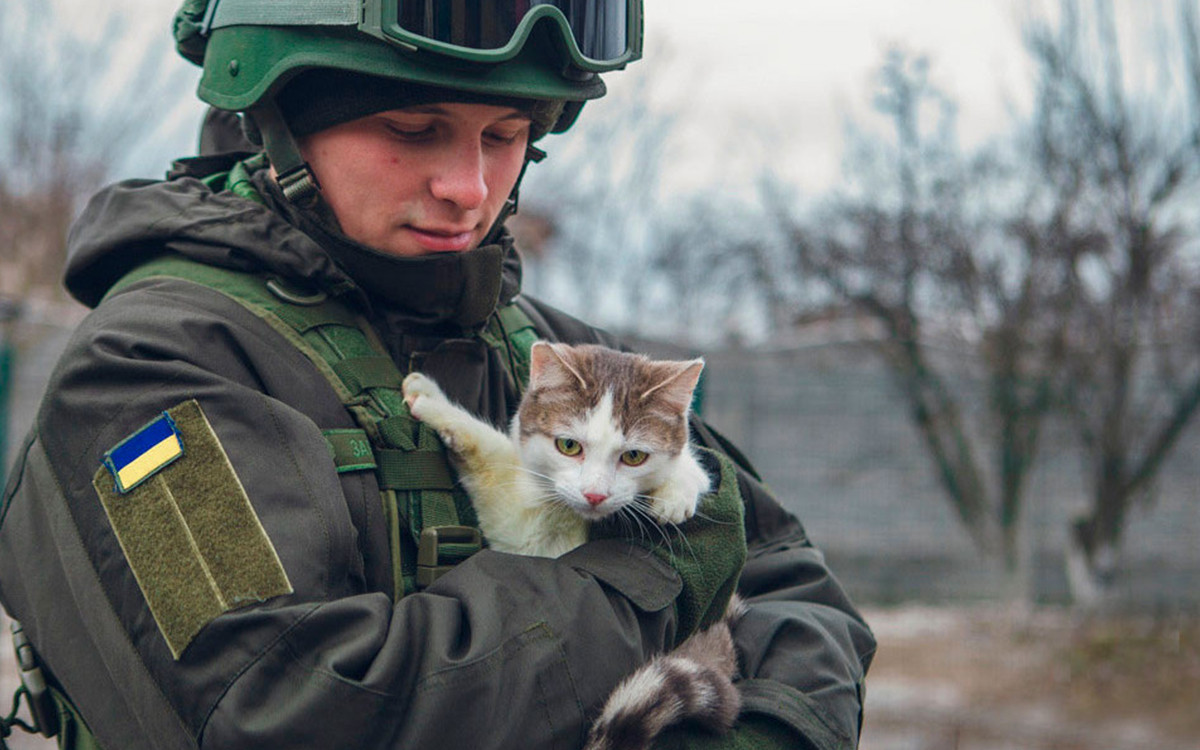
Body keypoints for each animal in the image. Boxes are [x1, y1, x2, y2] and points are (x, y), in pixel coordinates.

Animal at [403, 343, 739, 748]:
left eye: (634, 456)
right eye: (568, 446)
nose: (595, 494)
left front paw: (677, 489)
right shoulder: (524, 527)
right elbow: (493, 458)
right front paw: (433, 401)